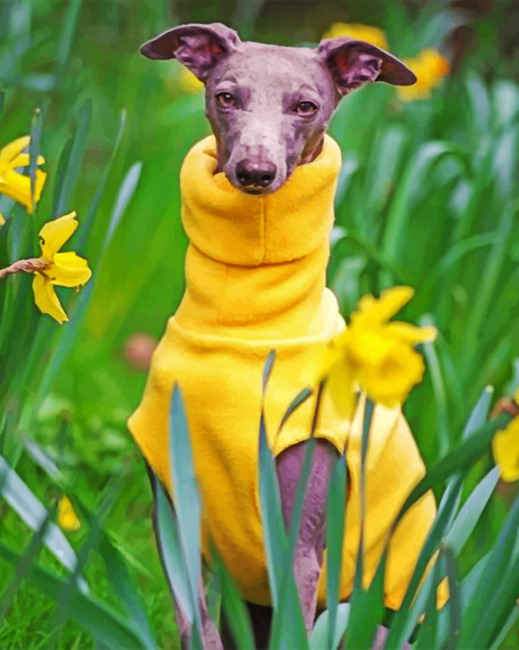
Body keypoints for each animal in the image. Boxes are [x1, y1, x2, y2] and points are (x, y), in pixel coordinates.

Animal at [130, 21, 438, 648]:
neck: (244, 324)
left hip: (371, 617)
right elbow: (194, 624)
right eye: (226, 96)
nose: (256, 172)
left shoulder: (299, 541)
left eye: (306, 106)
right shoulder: (171, 514)